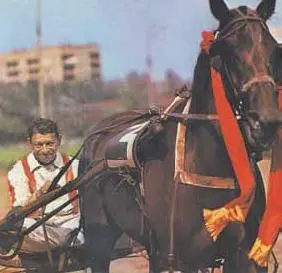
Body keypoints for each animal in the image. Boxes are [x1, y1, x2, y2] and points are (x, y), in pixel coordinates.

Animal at [78, 0, 282, 272]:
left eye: (273, 49)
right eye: (228, 50)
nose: (266, 120)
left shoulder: (243, 256)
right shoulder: (179, 258)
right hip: (99, 236)